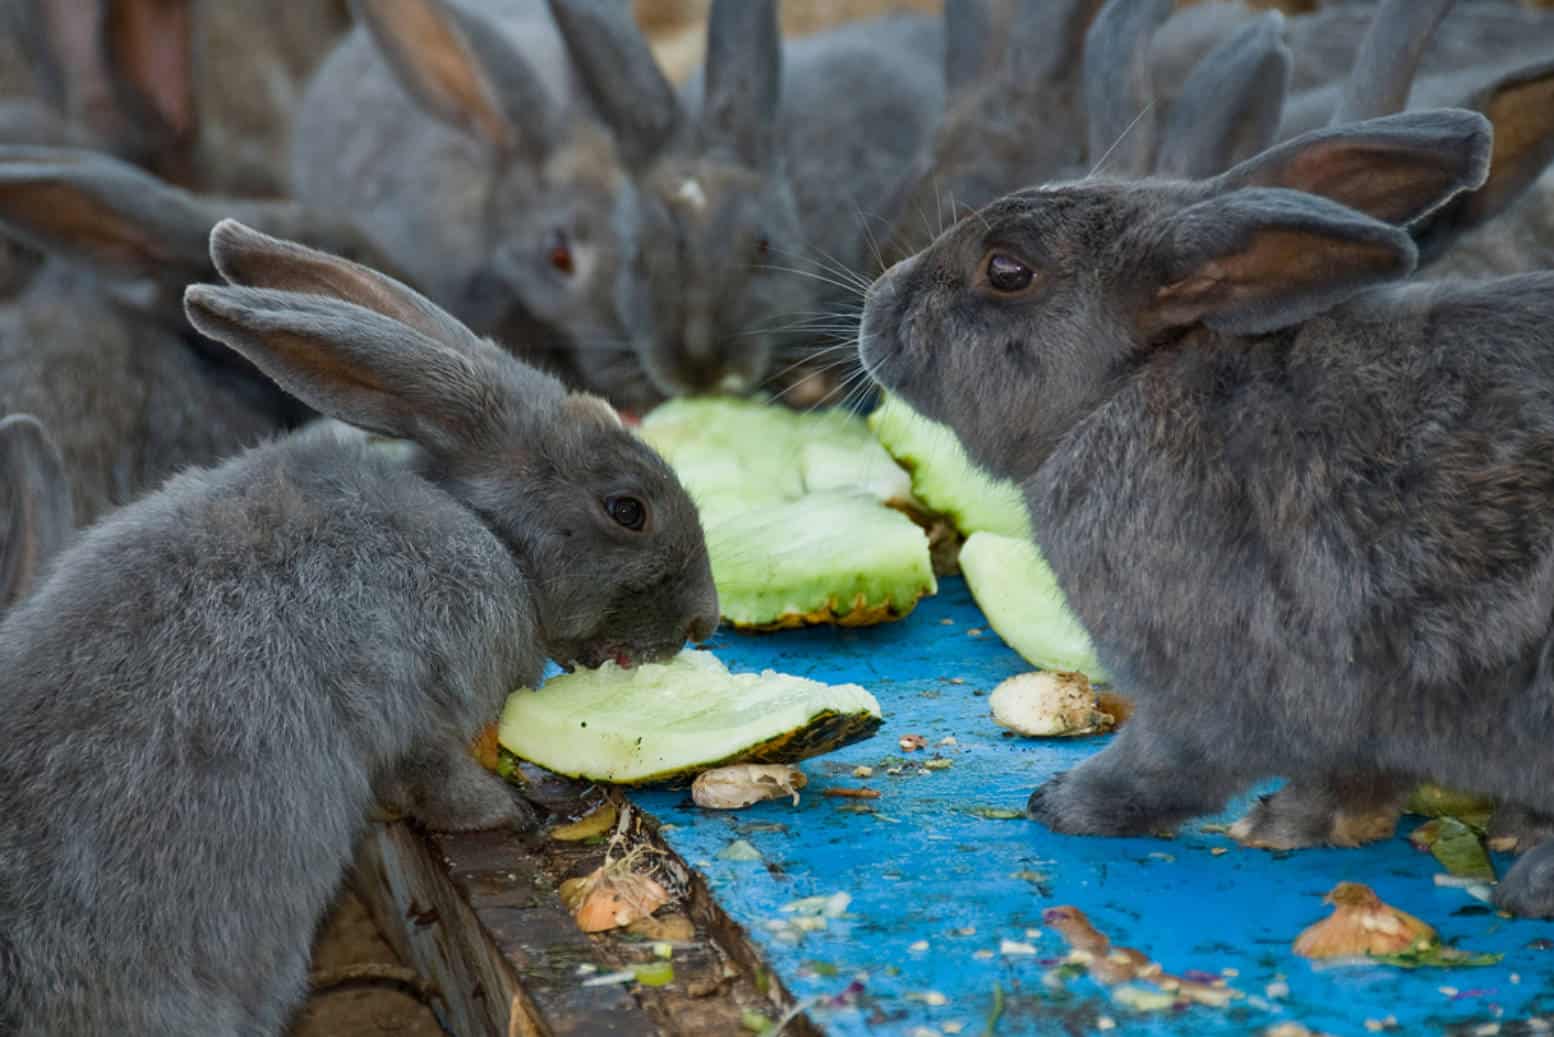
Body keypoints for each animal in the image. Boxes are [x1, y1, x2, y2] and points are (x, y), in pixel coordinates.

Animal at [0, 217, 714, 1032]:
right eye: (628, 509)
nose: (706, 620)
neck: (488, 531)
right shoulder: (421, 704)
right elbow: (442, 784)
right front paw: (520, 811)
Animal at [857, 107, 1554, 914]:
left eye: (1007, 271)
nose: (876, 306)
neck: (1122, 388)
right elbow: (1351, 783)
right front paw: (1298, 823)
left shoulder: (1200, 687)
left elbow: (1169, 762)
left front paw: (1065, 801)